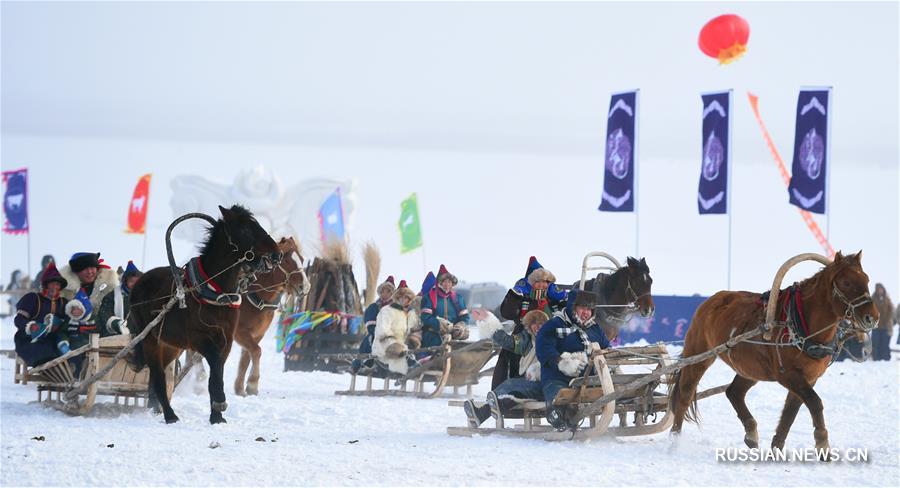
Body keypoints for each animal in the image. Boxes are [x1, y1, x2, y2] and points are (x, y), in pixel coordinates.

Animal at [129, 206, 282, 424]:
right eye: (245, 229)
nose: (276, 254)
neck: (215, 292)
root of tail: (140, 281)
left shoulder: (226, 341)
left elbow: (216, 372)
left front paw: (216, 416)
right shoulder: (199, 339)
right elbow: (214, 366)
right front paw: (219, 403)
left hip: (171, 345)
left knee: (157, 374)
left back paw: (156, 408)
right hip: (150, 339)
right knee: (157, 375)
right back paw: (170, 415)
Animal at [236, 237, 310, 396]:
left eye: (301, 259)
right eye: (287, 261)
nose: (306, 287)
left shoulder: (257, 334)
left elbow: (247, 358)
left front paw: (239, 388)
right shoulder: (240, 332)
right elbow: (256, 351)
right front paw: (252, 384)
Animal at [672, 252, 876, 458]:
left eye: (867, 279)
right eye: (846, 282)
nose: (872, 318)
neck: (802, 325)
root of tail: (712, 300)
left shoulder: (809, 378)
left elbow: (791, 412)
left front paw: (777, 448)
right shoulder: (787, 374)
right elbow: (814, 402)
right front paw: (822, 444)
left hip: (751, 369)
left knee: (734, 392)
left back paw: (751, 433)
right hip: (699, 355)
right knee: (685, 394)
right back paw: (675, 438)